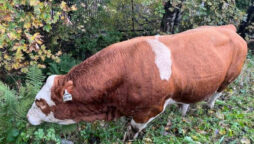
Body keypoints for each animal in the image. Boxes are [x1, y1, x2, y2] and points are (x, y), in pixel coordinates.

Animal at [26, 24, 247, 141]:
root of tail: (229, 28)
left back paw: (209, 107)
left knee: (217, 93)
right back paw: (183, 111)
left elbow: (132, 130)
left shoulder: (150, 110)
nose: (28, 117)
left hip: (229, 77)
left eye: (40, 102)